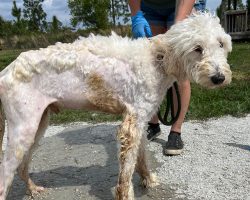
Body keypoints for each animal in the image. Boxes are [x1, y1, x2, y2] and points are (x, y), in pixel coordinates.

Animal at [0, 13, 232, 199]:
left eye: (221, 44)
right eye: (197, 48)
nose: (219, 78)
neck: (159, 59)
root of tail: (6, 71)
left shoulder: (140, 122)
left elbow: (142, 159)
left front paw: (148, 180)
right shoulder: (131, 126)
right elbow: (126, 174)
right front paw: (126, 193)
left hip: (38, 126)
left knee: (21, 167)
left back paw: (32, 189)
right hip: (23, 130)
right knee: (6, 173)